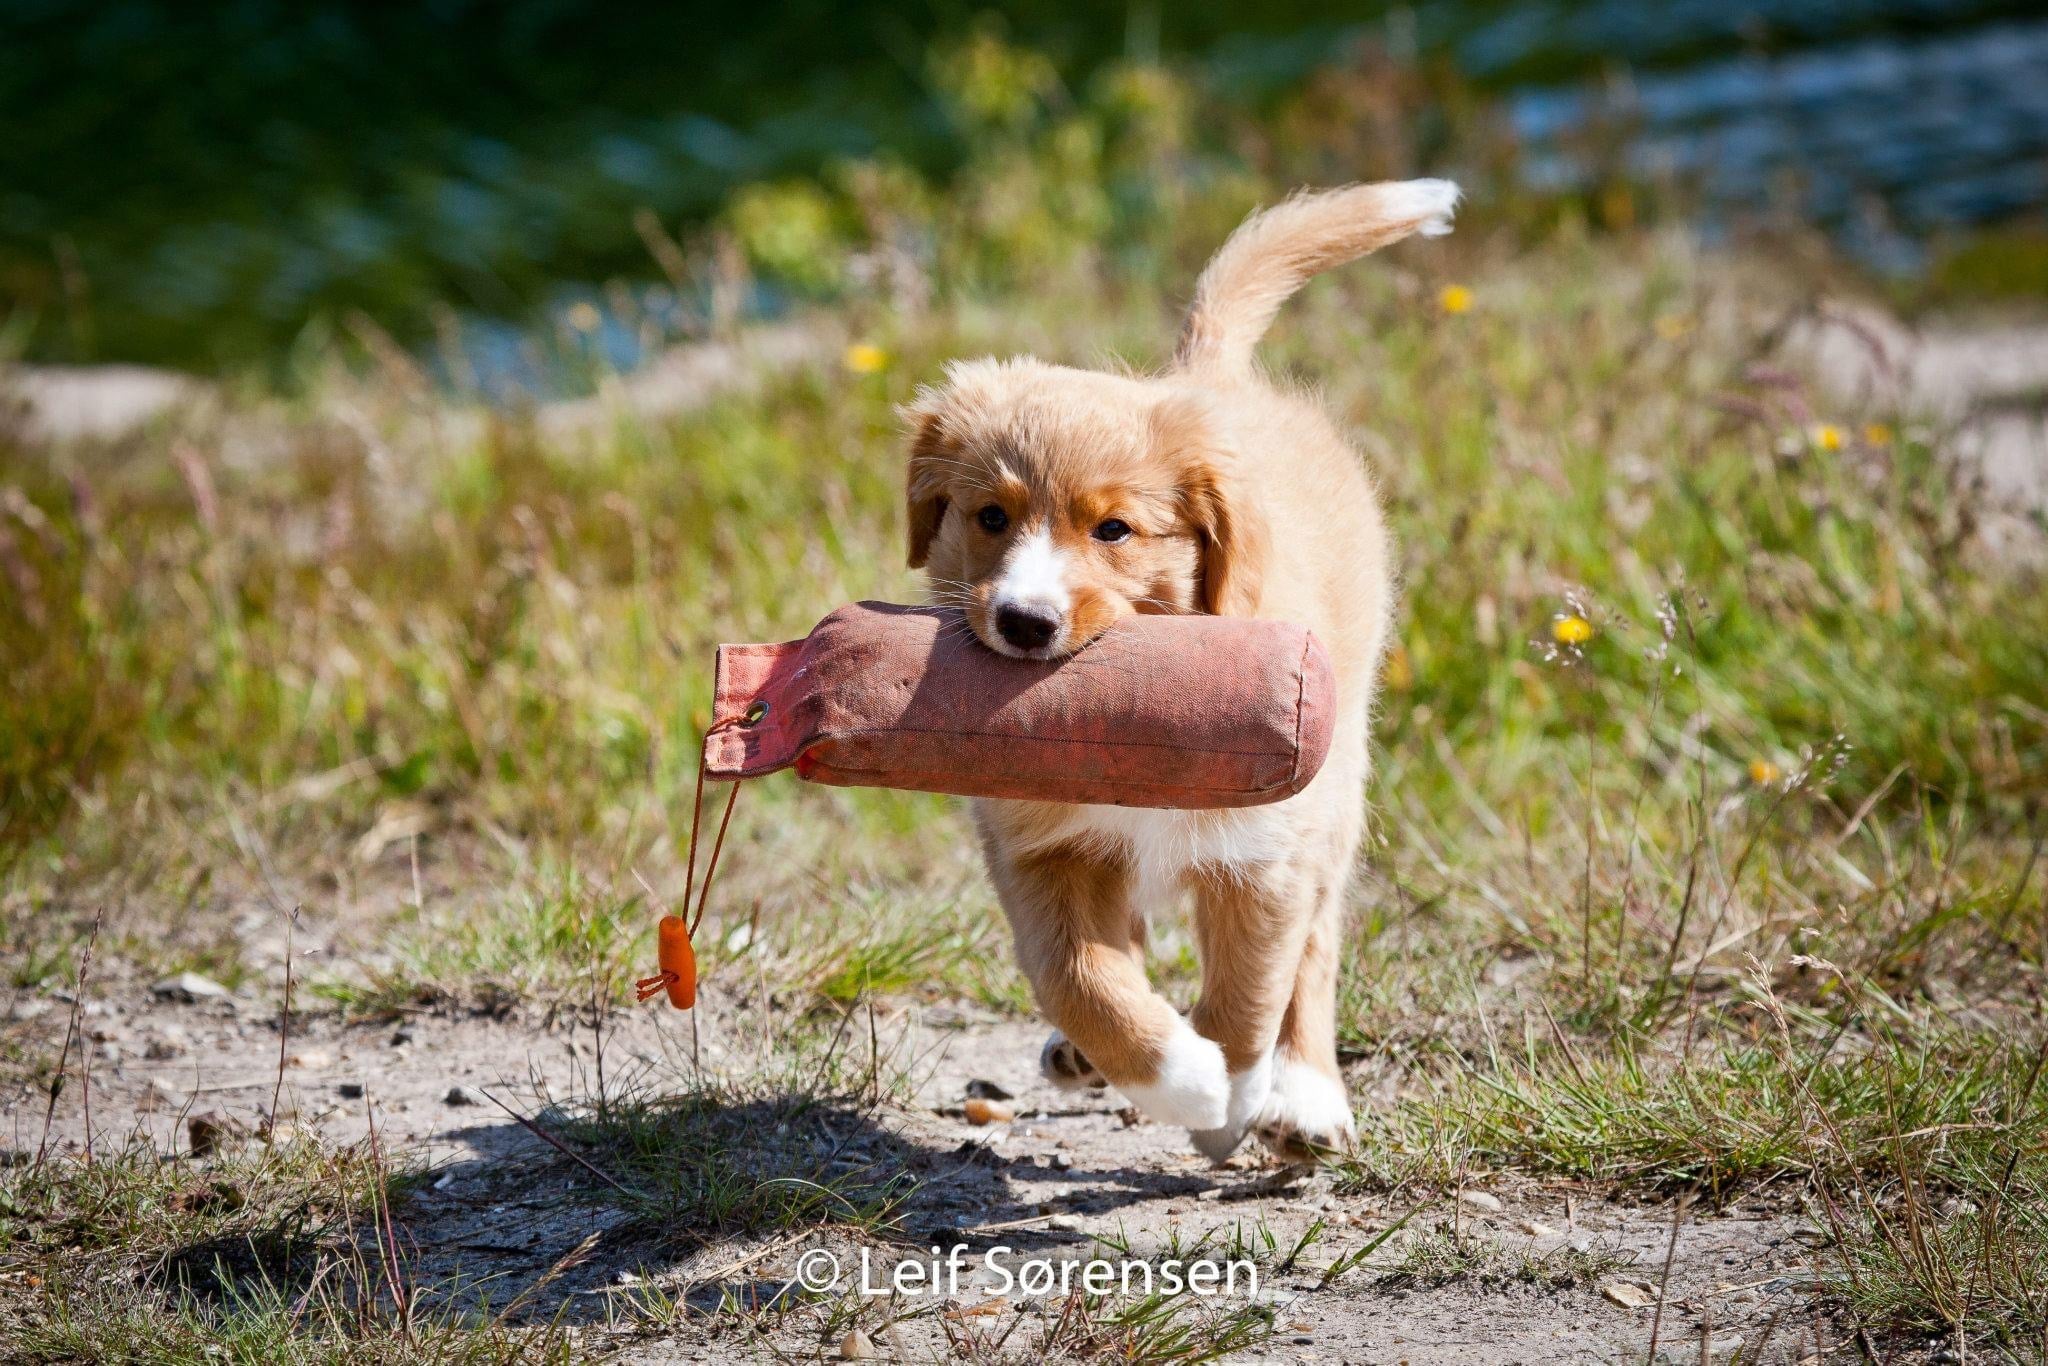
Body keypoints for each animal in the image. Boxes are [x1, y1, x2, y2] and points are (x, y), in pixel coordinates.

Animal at [901, 179, 1458, 1163]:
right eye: (990, 516)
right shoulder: (1037, 847)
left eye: (1114, 530)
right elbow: (1079, 975)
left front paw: (1228, 1094)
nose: (1024, 622)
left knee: (1317, 946)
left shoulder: (1265, 854)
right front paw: (1175, 1072)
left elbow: (1250, 993)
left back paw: (1306, 1095)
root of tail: (1209, 377)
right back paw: (1085, 1054)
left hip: (1337, 780)